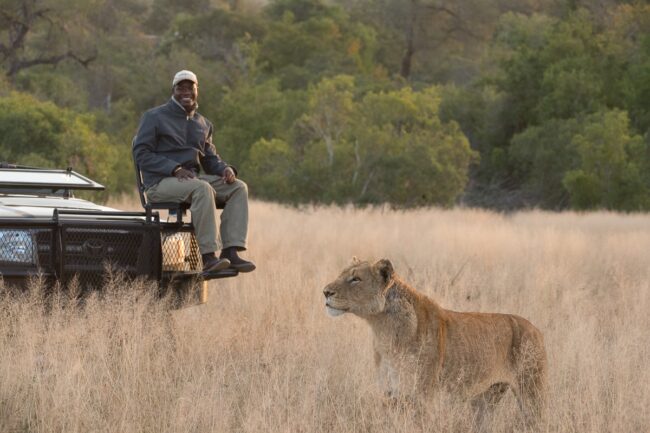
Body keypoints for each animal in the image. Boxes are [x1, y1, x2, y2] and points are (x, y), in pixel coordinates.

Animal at [323, 258, 547, 427]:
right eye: (342, 275)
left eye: (355, 279)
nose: (325, 292)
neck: (382, 329)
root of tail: (536, 329)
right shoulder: (389, 394)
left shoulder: (422, 396)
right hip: (486, 399)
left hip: (531, 393)